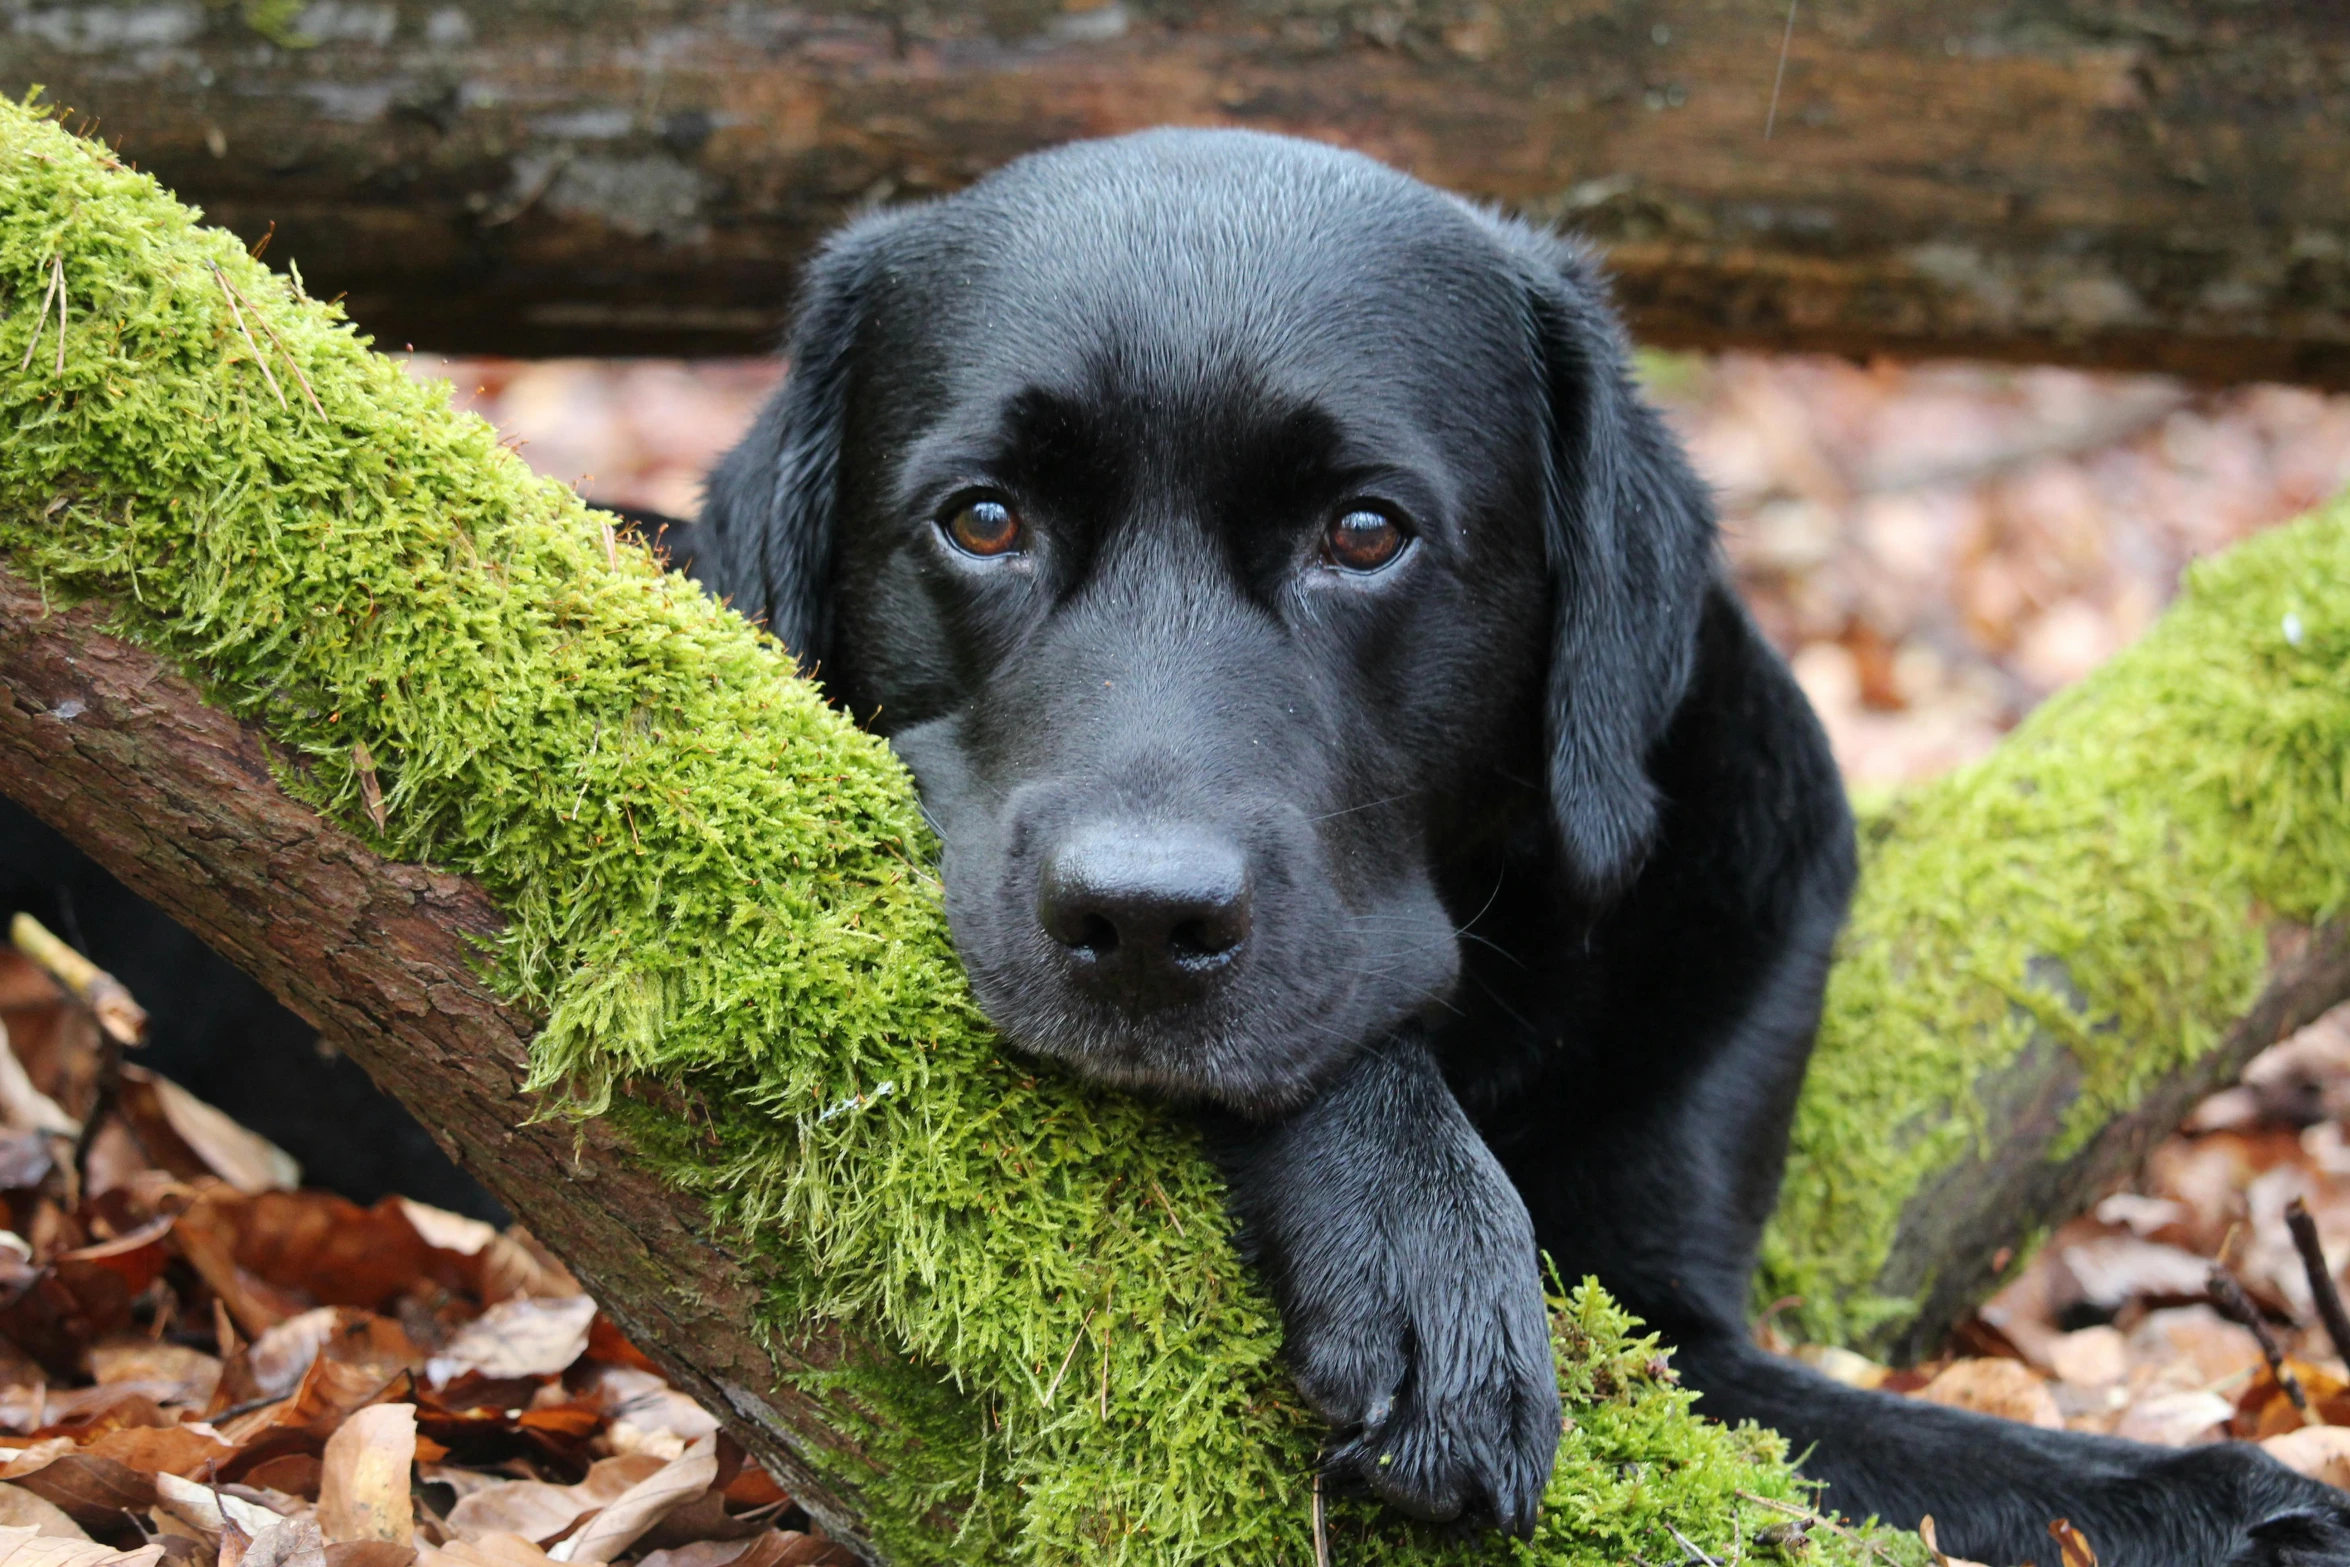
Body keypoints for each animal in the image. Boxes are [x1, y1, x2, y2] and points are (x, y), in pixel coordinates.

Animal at [681, 135, 2350, 1567]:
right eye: (981, 519)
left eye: (1365, 532)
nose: (1142, 920)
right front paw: (1428, 1246)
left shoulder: (1688, 1318)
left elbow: (1970, 1464)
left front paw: (2230, 1498)